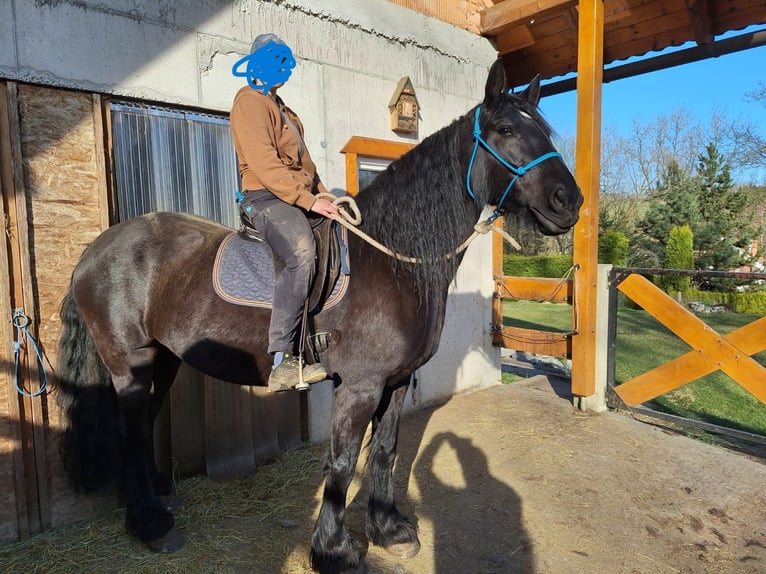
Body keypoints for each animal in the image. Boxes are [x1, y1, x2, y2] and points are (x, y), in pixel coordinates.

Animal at [55, 59, 582, 573]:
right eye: (505, 129)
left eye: (544, 132)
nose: (569, 201)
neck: (392, 261)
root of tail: (95, 250)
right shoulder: (360, 386)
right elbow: (343, 464)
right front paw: (333, 550)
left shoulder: (394, 382)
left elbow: (385, 452)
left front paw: (388, 530)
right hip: (130, 363)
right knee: (129, 430)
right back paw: (150, 523)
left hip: (163, 359)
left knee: (141, 428)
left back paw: (152, 507)